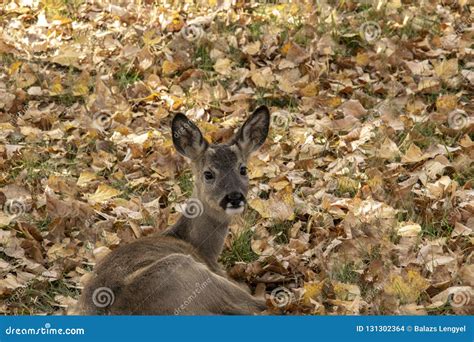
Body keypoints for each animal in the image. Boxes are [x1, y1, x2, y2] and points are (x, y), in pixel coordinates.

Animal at [78, 105, 270, 314]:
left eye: (243, 169)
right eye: (208, 174)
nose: (234, 197)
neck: (202, 248)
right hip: (185, 269)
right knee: (258, 305)